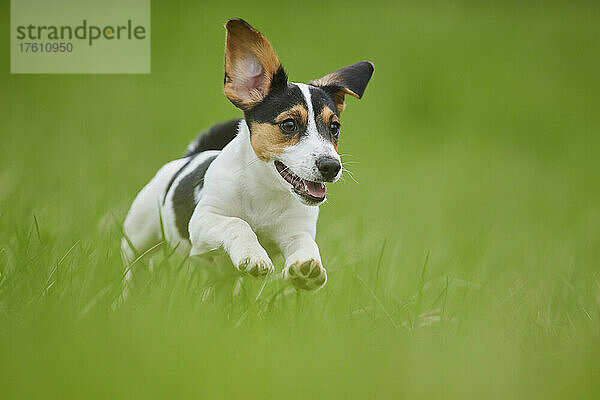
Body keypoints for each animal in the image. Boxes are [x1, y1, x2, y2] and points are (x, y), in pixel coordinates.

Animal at [122, 18, 372, 290]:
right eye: (289, 124)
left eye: (334, 127)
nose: (331, 167)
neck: (265, 192)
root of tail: (191, 155)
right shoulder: (203, 222)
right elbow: (238, 223)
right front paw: (254, 255)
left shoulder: (296, 230)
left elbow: (305, 243)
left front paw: (306, 268)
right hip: (138, 235)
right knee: (133, 265)